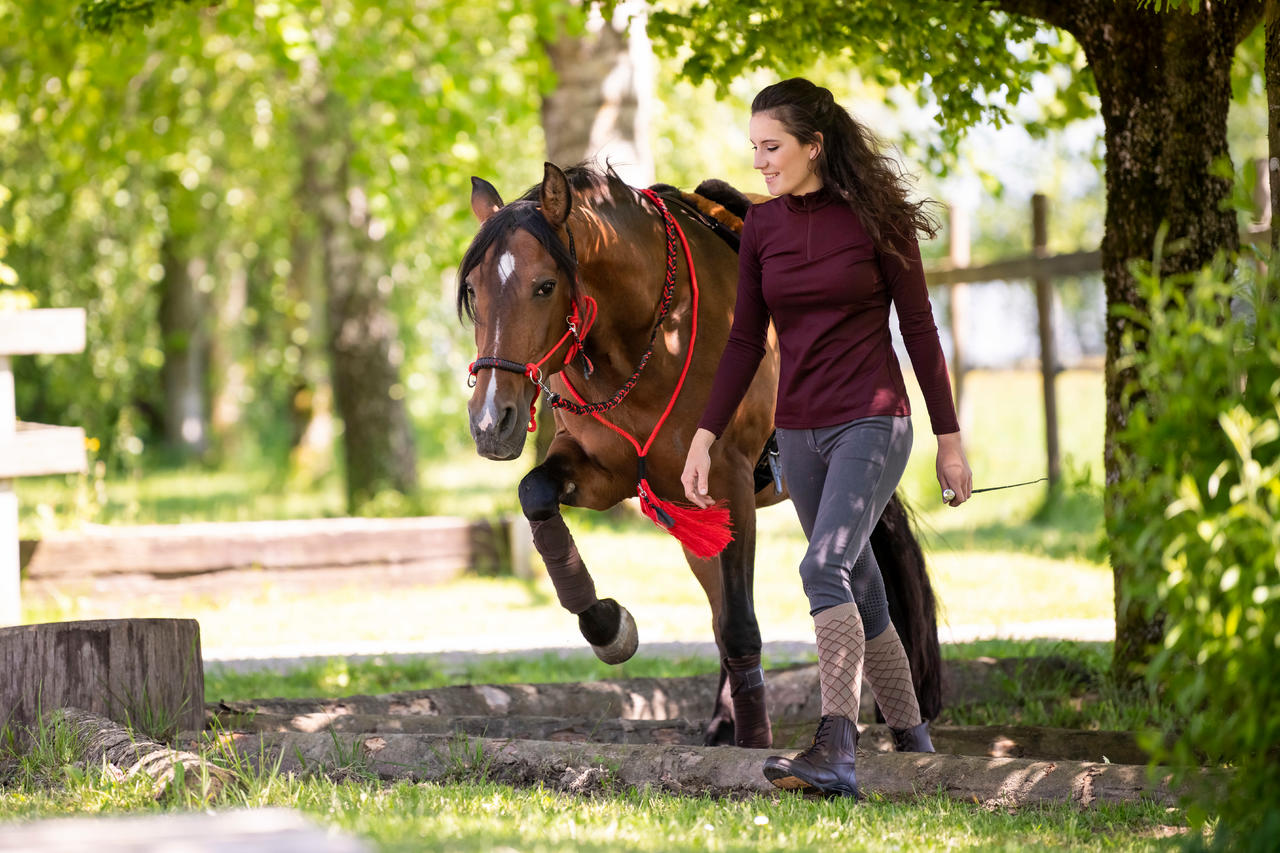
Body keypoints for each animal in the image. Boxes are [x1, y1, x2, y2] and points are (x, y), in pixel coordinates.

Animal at [460, 161, 942, 742]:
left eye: (545, 286)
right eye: (473, 290)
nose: (491, 421)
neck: (644, 340)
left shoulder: (727, 483)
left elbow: (740, 625)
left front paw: (754, 742)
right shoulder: (607, 474)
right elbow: (535, 492)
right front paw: (606, 624)